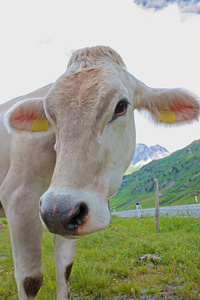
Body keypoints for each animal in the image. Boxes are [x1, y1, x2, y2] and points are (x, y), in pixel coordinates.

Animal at [0, 45, 199, 298]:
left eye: (121, 106)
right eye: (48, 114)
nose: (59, 211)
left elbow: (64, 268)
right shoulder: (19, 199)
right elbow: (30, 279)